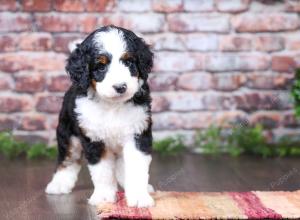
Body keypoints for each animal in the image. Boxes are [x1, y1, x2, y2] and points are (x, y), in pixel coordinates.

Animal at [45, 26, 156, 208]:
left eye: (128, 62)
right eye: (101, 67)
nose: (120, 87)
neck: (112, 106)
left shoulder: (138, 134)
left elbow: (136, 168)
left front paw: (140, 197)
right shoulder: (93, 139)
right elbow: (102, 171)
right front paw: (104, 197)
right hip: (68, 134)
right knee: (68, 159)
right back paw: (59, 184)